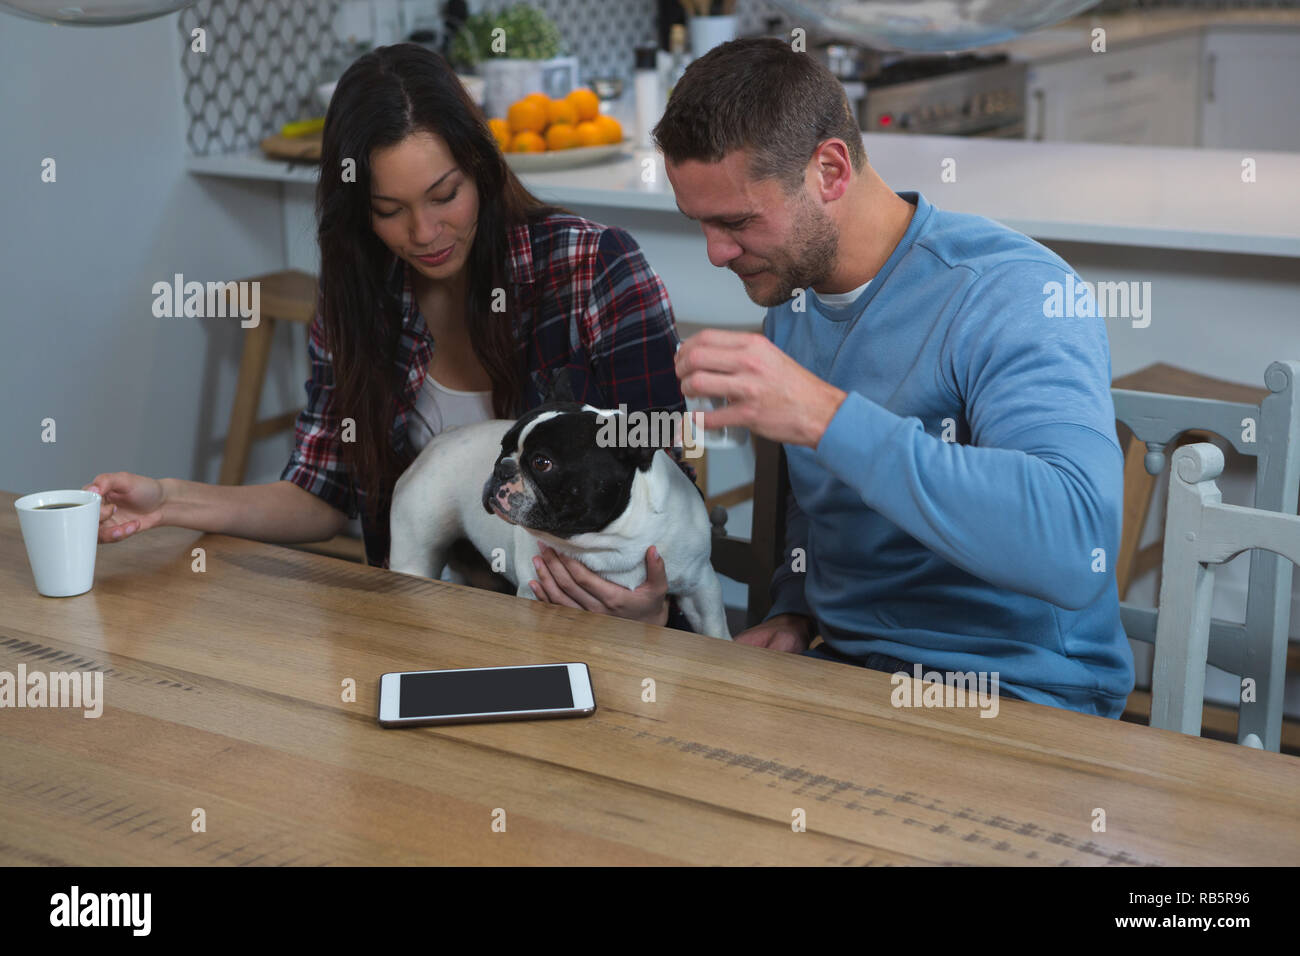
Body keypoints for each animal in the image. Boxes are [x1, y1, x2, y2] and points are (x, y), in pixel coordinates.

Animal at [384, 400, 733, 639]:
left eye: (542, 462)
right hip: (415, 552)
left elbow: (715, 627)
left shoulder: (700, 584)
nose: (501, 467)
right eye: (502, 448)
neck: (613, 540)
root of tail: (444, 437)